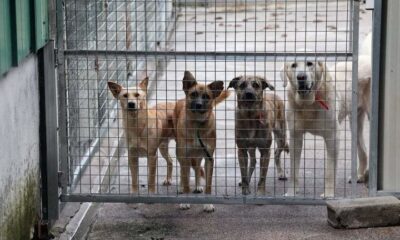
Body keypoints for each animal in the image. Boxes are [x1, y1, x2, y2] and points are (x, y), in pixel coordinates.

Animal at [173, 70, 230, 212]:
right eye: (193, 94)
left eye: (206, 96)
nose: (198, 105)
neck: (197, 125)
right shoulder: (185, 155)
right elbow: (186, 181)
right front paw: (185, 201)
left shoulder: (209, 158)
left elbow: (208, 185)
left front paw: (208, 203)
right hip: (180, 154)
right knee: (183, 172)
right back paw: (181, 187)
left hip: (198, 155)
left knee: (197, 167)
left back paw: (198, 185)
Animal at [280, 61, 340, 198]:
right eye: (293, 65)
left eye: (309, 63)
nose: (301, 77)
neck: (307, 105)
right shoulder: (295, 136)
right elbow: (293, 170)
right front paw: (291, 193)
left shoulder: (332, 137)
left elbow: (330, 170)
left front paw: (329, 194)